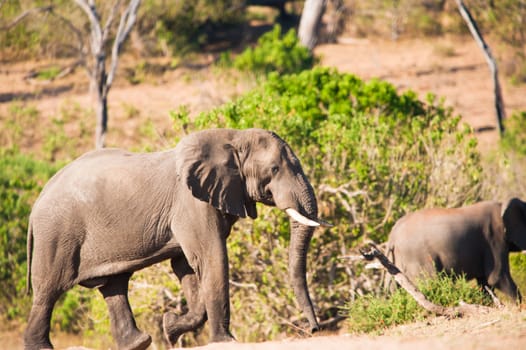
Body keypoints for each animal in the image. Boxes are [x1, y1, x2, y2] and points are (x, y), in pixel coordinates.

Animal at [25, 129, 330, 350]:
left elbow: (186, 267)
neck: (232, 138)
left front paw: (170, 328)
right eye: (275, 169)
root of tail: (37, 200)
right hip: (57, 234)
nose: (314, 329)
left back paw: (139, 343)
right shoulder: (192, 204)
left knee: (114, 285)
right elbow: (211, 257)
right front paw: (224, 341)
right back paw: (41, 347)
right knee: (48, 290)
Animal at [388, 198, 526, 302]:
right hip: (418, 258)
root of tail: (392, 237)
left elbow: (485, 282)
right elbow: (496, 277)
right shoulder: (494, 239)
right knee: (430, 283)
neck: (502, 204)